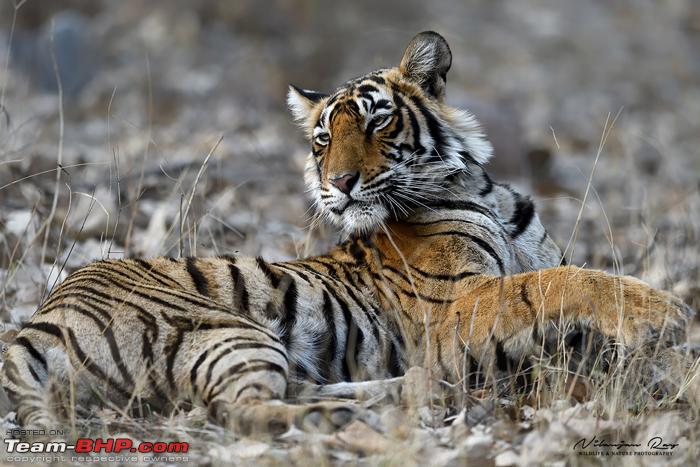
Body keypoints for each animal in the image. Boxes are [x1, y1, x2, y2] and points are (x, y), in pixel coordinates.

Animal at [0, 31, 692, 436]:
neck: (481, 190)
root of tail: (37, 321)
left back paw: (396, 393)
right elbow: (559, 281)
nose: (339, 182)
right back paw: (359, 411)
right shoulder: (457, 307)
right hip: (224, 329)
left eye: (376, 121)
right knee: (237, 410)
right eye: (322, 139)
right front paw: (663, 311)